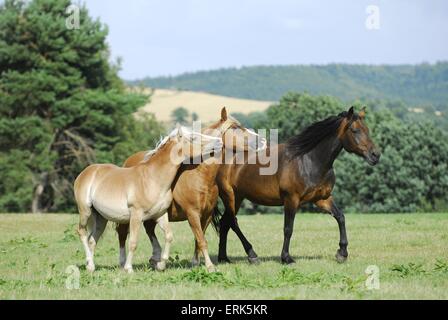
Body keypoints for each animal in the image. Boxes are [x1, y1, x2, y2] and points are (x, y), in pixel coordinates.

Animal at [73, 125, 224, 272]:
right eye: (193, 138)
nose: (219, 141)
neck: (153, 178)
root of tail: (86, 172)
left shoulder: (160, 215)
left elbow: (169, 236)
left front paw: (160, 265)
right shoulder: (136, 215)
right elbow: (133, 242)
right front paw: (129, 268)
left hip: (101, 218)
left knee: (92, 239)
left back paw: (91, 267)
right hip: (86, 211)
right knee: (82, 232)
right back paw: (96, 264)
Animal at [116, 108, 266, 272]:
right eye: (234, 127)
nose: (262, 141)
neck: (199, 175)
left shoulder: (206, 215)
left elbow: (198, 238)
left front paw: (195, 262)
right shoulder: (192, 214)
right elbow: (202, 240)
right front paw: (209, 266)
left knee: (149, 230)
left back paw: (155, 258)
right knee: (123, 233)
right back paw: (124, 262)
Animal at [215, 106, 380, 264]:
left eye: (367, 130)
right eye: (354, 130)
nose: (375, 155)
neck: (309, 161)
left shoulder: (322, 199)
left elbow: (340, 217)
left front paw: (342, 253)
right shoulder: (291, 199)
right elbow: (288, 228)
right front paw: (286, 258)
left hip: (238, 197)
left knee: (225, 224)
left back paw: (224, 258)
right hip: (230, 197)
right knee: (232, 222)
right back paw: (252, 255)